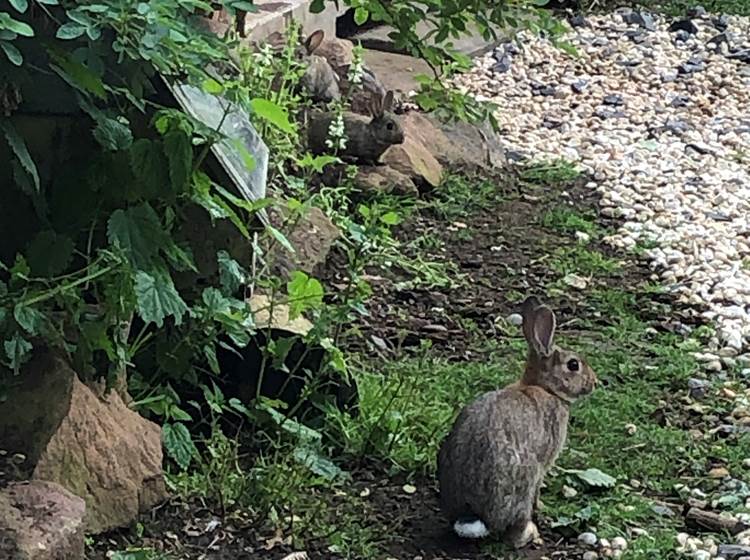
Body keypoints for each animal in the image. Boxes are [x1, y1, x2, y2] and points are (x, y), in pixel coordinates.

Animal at [438, 298, 596, 548]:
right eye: (573, 365)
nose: (594, 383)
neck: (545, 388)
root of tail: (473, 515)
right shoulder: (544, 462)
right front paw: (542, 505)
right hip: (523, 481)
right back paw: (531, 532)